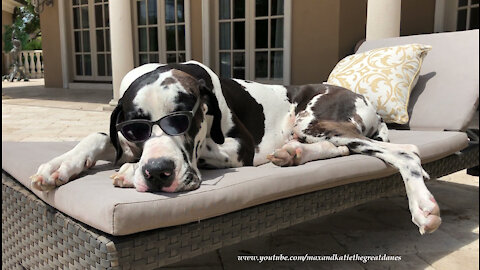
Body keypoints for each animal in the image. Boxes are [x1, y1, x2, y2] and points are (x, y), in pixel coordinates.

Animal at [31, 60, 438, 234]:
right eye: (134, 127)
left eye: (184, 118)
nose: (158, 173)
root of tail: (363, 98)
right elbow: (100, 137)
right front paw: (59, 165)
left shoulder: (239, 148)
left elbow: (202, 150)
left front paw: (129, 171)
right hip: (314, 131)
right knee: (341, 150)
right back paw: (293, 153)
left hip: (316, 120)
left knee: (407, 152)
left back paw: (424, 208)